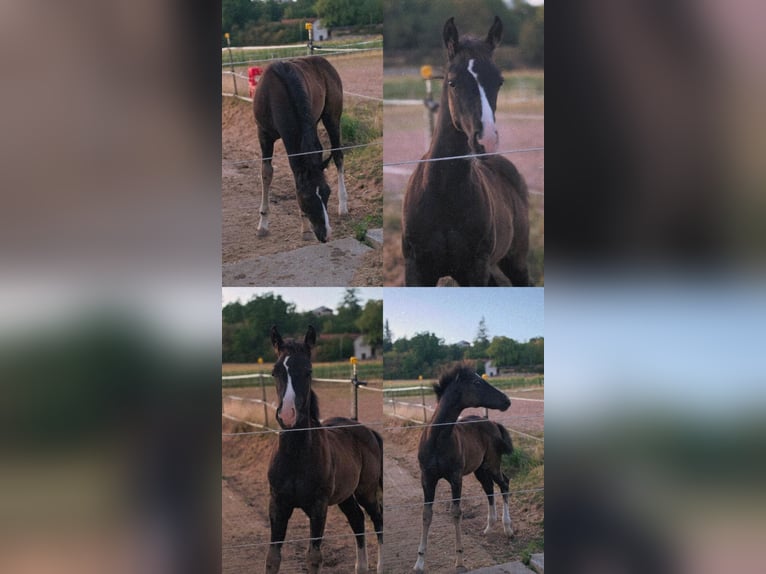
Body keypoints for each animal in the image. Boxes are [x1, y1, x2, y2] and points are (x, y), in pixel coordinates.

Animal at [253, 56, 348, 243]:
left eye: (327, 193)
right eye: (307, 197)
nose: (326, 234)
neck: (275, 93)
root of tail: (323, 61)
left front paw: (305, 229)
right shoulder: (264, 136)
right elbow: (266, 173)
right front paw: (263, 224)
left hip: (332, 118)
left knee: (338, 155)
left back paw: (343, 206)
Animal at [265, 326, 383, 574]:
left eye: (308, 371)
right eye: (274, 371)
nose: (287, 416)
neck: (296, 457)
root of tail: (367, 431)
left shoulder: (318, 508)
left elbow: (313, 558)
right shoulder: (277, 505)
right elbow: (272, 558)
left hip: (366, 490)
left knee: (377, 519)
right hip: (346, 495)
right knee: (357, 519)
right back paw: (361, 567)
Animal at [402, 17, 530, 286]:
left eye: (499, 81)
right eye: (452, 82)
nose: (486, 140)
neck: (443, 193)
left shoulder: (474, 270)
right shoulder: (417, 270)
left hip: (516, 262)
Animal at [413, 364, 514, 573]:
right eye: (476, 382)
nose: (507, 401)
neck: (437, 440)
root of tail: (493, 423)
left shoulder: (455, 478)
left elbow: (456, 513)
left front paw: (459, 560)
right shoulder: (427, 479)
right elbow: (426, 515)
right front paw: (419, 563)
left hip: (493, 464)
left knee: (504, 484)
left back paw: (508, 528)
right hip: (481, 469)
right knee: (489, 489)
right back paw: (489, 528)